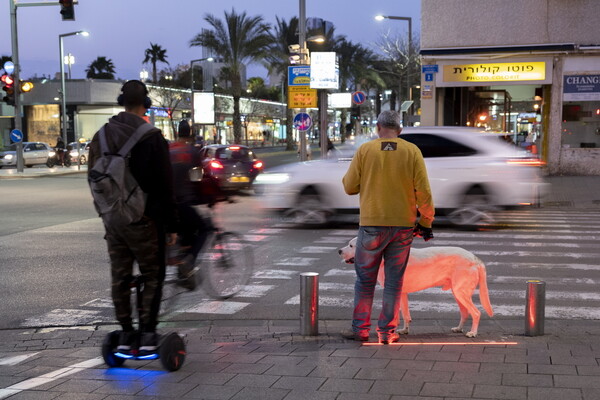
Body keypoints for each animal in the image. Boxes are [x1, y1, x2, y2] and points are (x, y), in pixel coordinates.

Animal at [338, 238, 492, 338]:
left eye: (351, 246)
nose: (339, 251)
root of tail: (476, 258)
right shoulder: (402, 293)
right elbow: (405, 315)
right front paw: (403, 330)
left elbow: (396, 315)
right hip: (457, 293)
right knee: (465, 313)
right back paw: (459, 329)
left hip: (461, 293)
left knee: (476, 313)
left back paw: (472, 332)